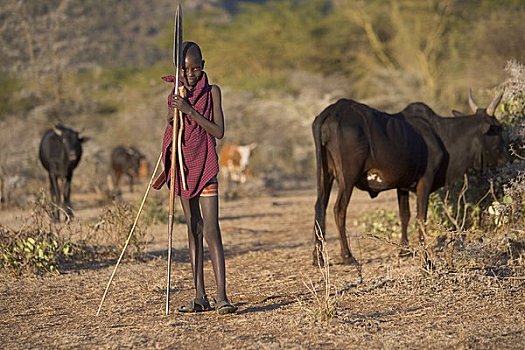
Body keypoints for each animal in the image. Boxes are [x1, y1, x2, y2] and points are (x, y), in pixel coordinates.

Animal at [312, 90, 508, 266]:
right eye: (498, 129)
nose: (504, 159)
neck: (443, 135)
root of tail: (334, 110)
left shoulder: (402, 185)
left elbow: (404, 215)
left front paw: (404, 250)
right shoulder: (424, 182)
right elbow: (421, 217)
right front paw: (425, 255)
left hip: (324, 175)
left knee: (320, 207)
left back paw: (318, 259)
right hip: (347, 178)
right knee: (339, 209)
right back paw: (347, 256)